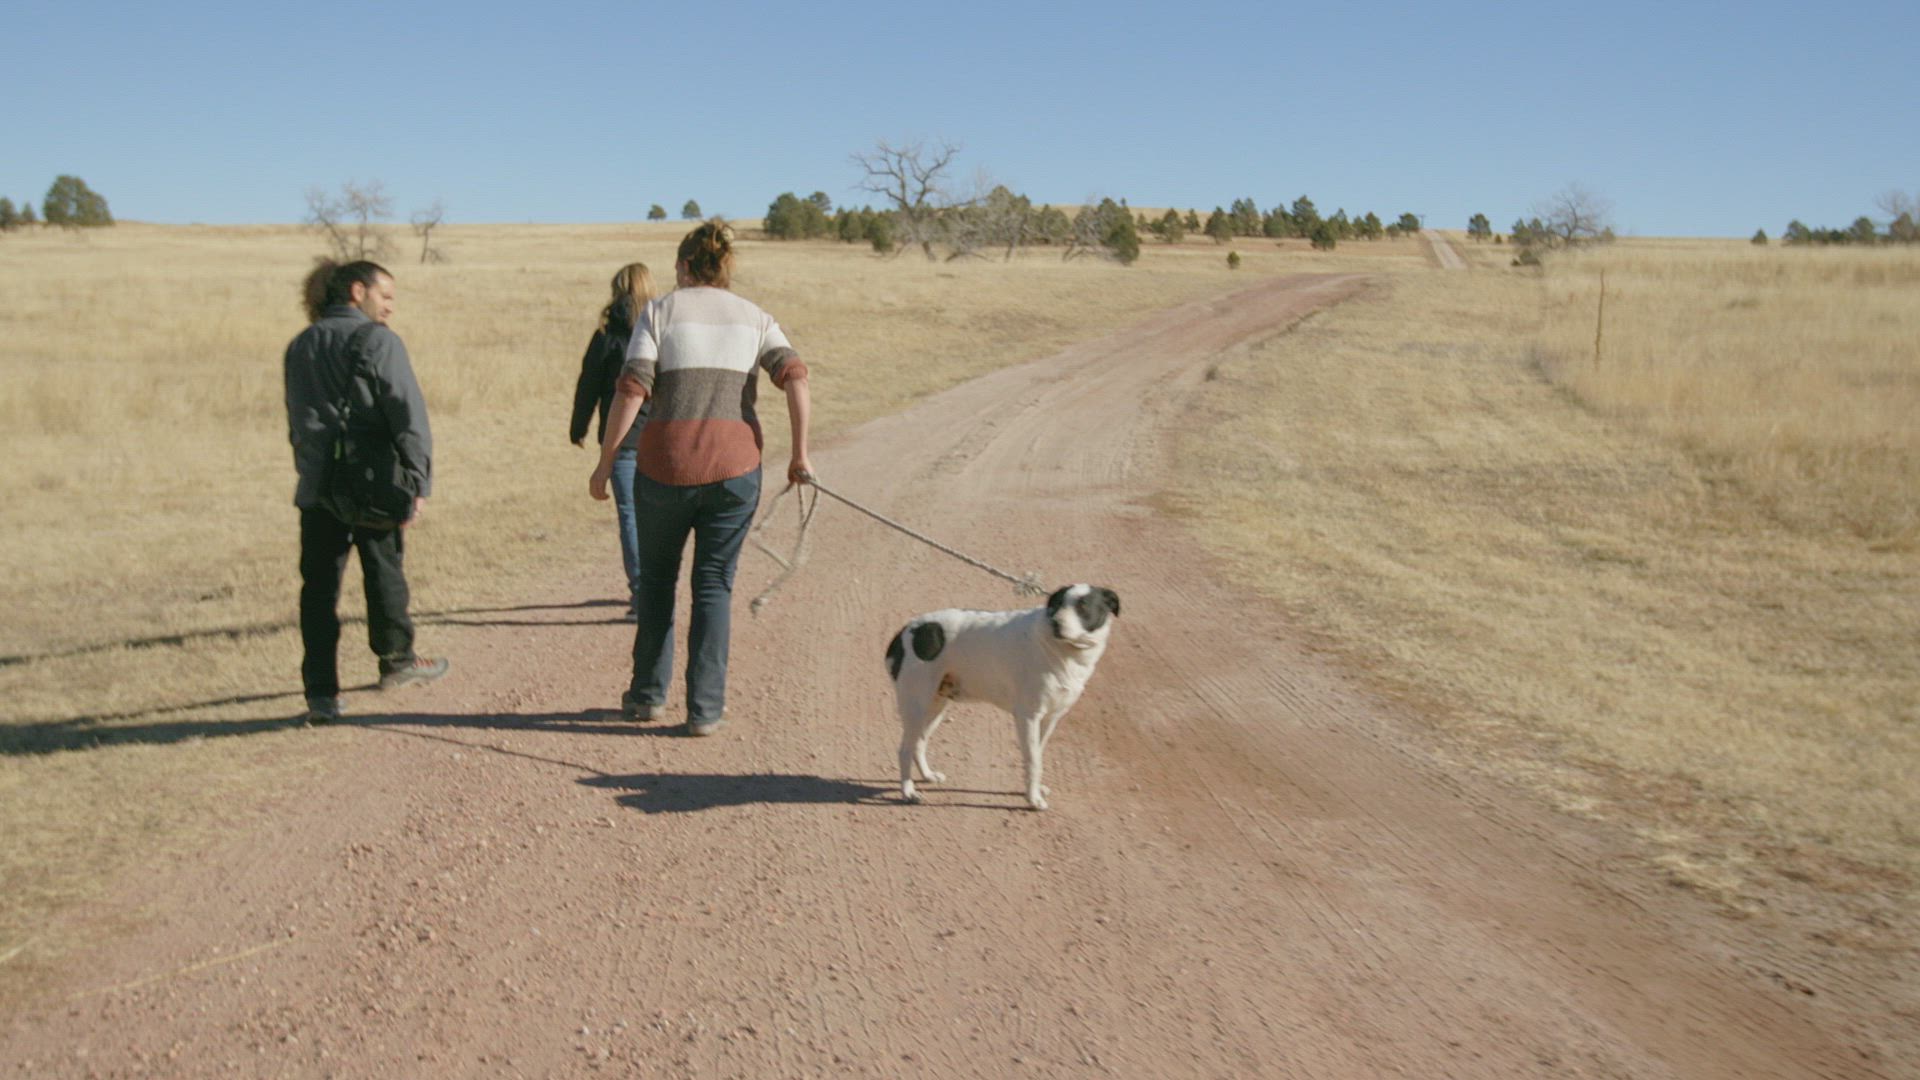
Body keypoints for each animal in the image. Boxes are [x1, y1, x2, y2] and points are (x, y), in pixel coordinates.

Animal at [879, 584, 1121, 803]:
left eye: (1083, 606)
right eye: (1056, 605)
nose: (1055, 623)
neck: (1063, 650)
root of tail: (906, 631)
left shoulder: (1051, 718)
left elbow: (1038, 754)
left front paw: (1034, 790)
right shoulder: (1028, 716)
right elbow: (1033, 760)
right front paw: (1032, 799)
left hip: (936, 706)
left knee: (918, 744)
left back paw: (927, 776)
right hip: (917, 705)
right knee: (904, 750)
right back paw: (908, 791)